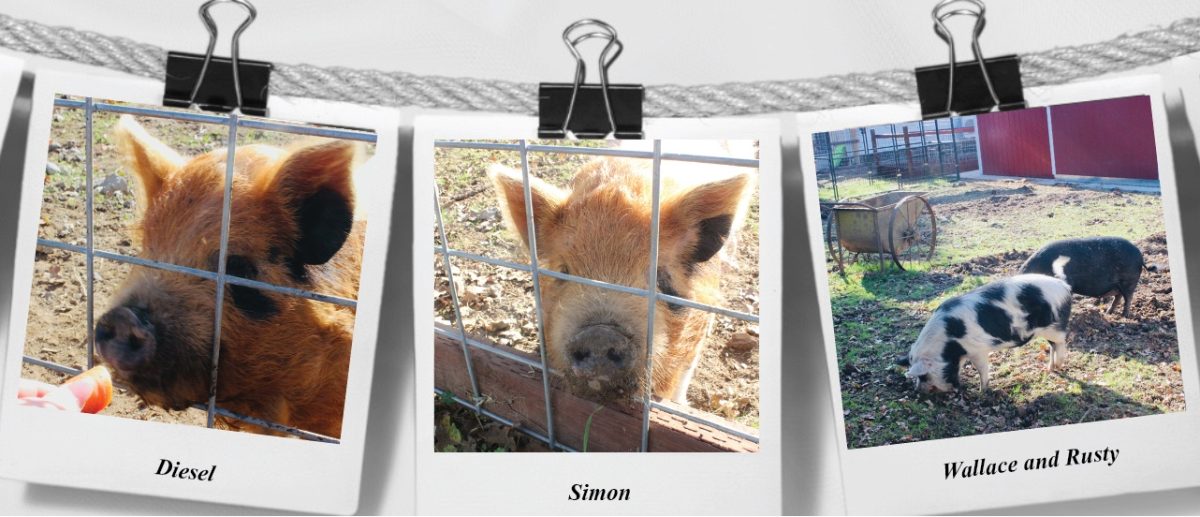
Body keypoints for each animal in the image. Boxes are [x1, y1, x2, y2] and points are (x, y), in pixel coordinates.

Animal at [897, 274, 1072, 394]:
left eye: (923, 376)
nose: (918, 391)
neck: (949, 344)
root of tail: (1064, 286)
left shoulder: (977, 350)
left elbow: (982, 369)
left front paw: (982, 392)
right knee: (1053, 346)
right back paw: (1050, 369)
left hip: (1054, 326)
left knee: (1062, 342)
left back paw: (1059, 364)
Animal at [1019, 236, 1158, 318]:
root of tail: (1140, 256)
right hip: (1119, 285)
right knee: (1118, 297)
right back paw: (1108, 313)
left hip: (1128, 281)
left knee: (1128, 298)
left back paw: (1124, 316)